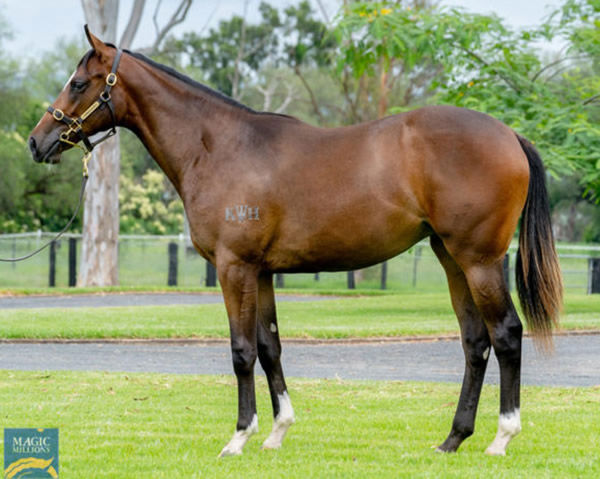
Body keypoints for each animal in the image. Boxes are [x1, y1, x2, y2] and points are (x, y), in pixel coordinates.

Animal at [28, 29, 564, 458]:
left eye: (79, 83)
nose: (38, 141)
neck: (218, 147)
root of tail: (510, 135)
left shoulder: (235, 268)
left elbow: (242, 350)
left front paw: (239, 438)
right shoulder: (262, 272)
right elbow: (270, 347)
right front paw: (276, 433)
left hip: (479, 260)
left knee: (506, 334)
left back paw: (501, 438)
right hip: (450, 258)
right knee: (475, 342)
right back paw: (452, 439)